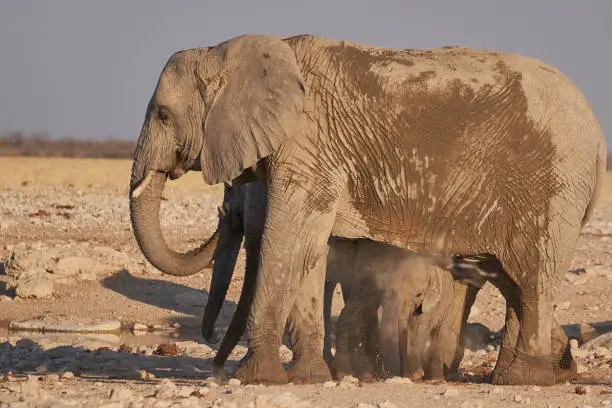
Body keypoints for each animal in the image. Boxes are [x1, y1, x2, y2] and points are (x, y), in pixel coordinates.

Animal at [128, 32, 604, 386]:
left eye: (164, 115)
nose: (215, 369)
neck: (233, 52)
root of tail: (598, 136)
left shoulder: (309, 144)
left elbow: (287, 242)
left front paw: (256, 379)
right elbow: (309, 251)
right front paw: (308, 379)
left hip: (551, 185)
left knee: (531, 277)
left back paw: (523, 380)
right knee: (514, 281)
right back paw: (530, 374)